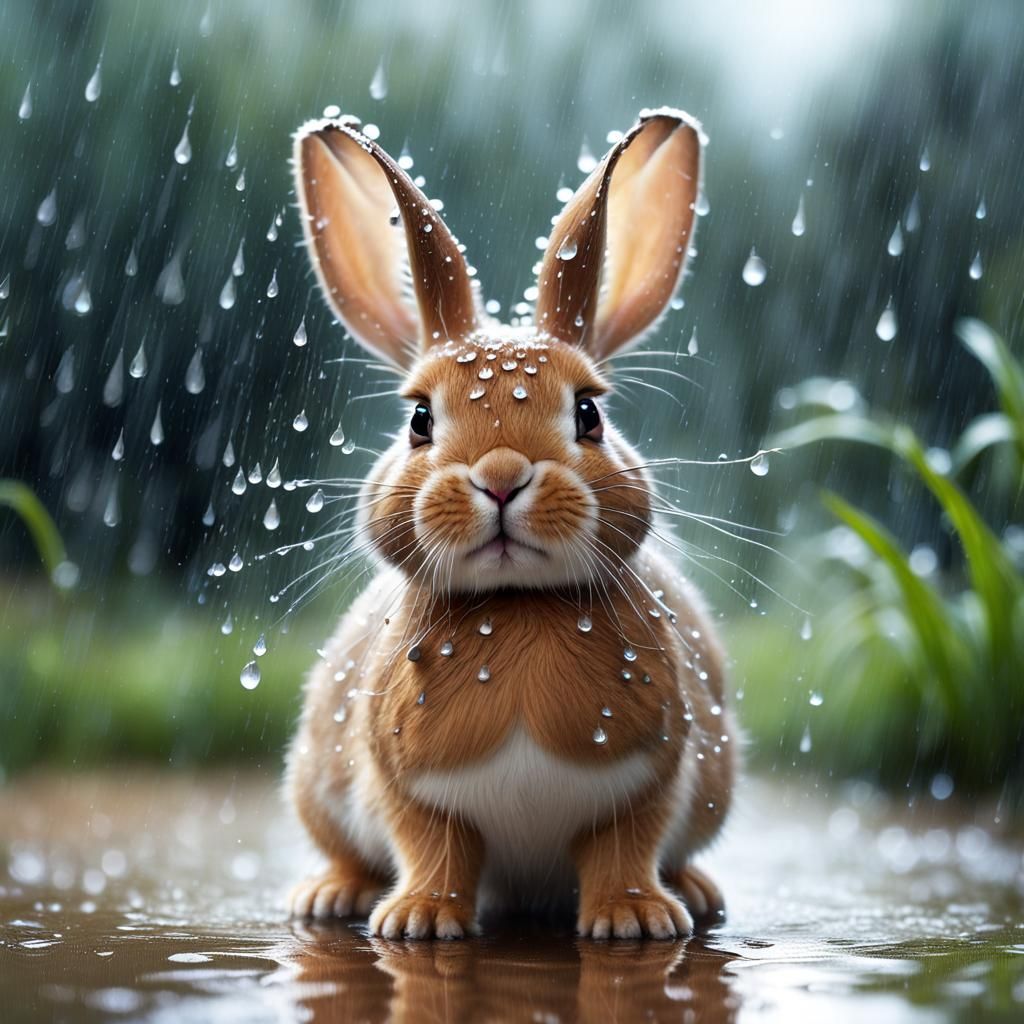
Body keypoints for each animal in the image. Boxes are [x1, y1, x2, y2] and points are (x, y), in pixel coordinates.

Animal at [286, 107, 737, 941]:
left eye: (589, 414)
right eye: (420, 420)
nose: (501, 478)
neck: (518, 608)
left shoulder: (652, 779)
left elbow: (623, 847)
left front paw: (633, 921)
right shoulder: (408, 791)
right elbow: (435, 848)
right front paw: (420, 922)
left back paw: (693, 894)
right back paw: (331, 897)